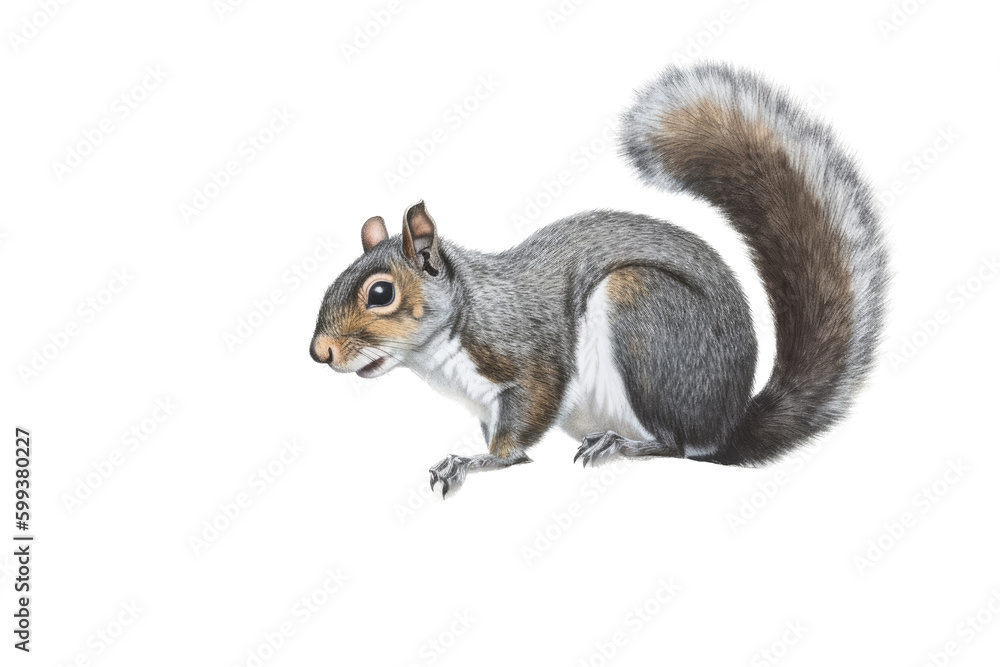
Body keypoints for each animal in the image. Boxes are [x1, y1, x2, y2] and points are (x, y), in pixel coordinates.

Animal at [310, 63, 888, 497]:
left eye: (380, 293)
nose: (320, 353)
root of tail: (726, 427)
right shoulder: (486, 405)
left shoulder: (528, 360)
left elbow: (520, 427)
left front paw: (475, 462)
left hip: (644, 315)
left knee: (679, 446)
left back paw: (623, 445)